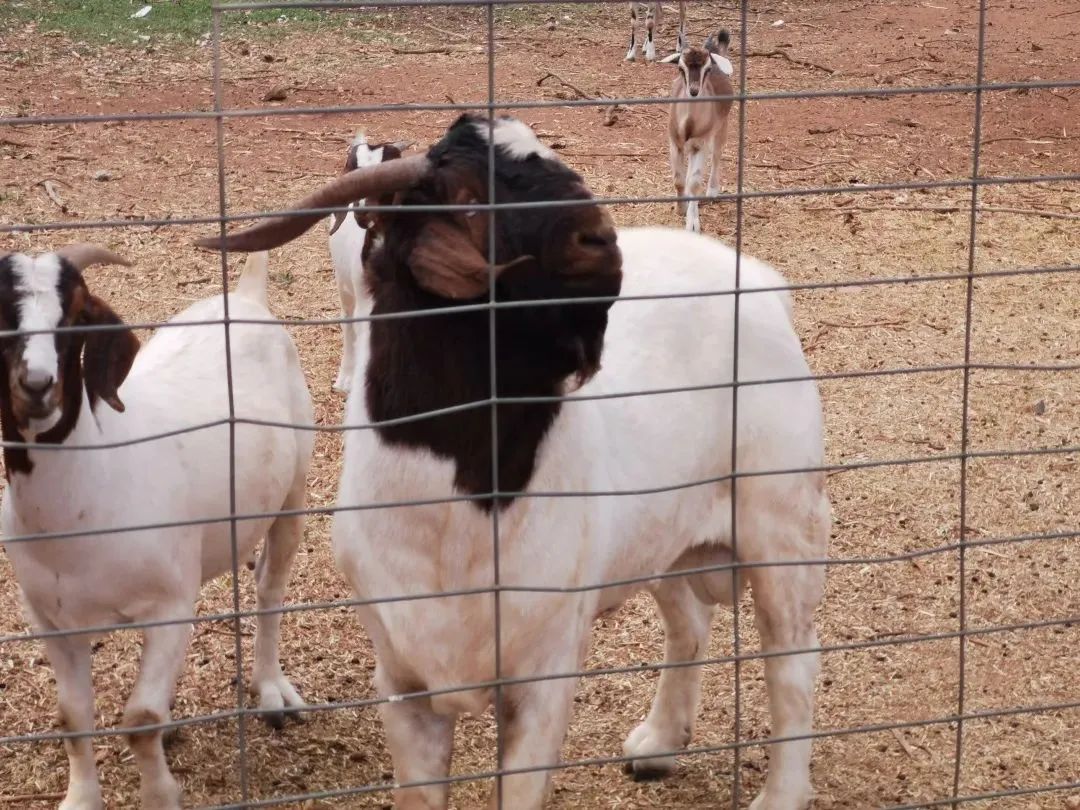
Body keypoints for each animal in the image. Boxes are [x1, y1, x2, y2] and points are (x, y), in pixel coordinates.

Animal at [0, 247, 315, 810]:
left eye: (76, 315)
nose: (37, 386)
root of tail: (247, 297)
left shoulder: (170, 606)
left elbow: (140, 721)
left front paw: (160, 793)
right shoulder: (50, 619)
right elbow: (73, 718)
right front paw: (81, 798)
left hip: (295, 486)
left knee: (270, 587)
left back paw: (271, 690)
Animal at [198, 114, 829, 810]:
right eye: (468, 197)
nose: (600, 241)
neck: (461, 515)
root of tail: (763, 283)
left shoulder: (542, 679)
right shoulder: (403, 680)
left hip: (782, 522)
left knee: (793, 660)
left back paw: (780, 792)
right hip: (661, 536)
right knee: (690, 621)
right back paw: (658, 745)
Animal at [656, 28, 734, 231]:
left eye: (707, 69)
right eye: (680, 68)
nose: (693, 91)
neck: (689, 125)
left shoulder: (701, 143)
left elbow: (694, 182)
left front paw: (692, 223)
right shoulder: (675, 142)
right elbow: (679, 180)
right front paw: (680, 208)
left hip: (722, 126)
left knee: (716, 155)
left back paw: (712, 191)